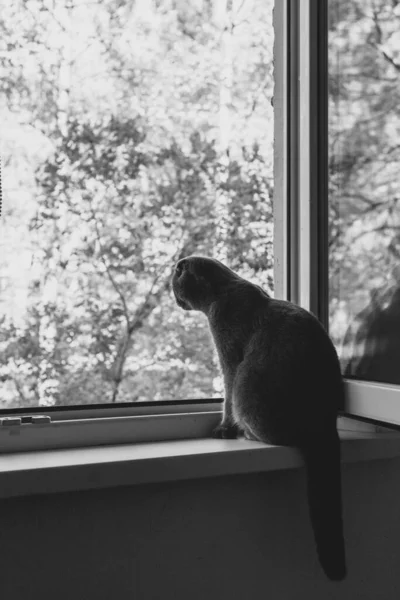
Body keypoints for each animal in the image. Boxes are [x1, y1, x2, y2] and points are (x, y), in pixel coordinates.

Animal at [173, 254, 346, 580]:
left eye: (175, 283)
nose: (174, 297)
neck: (223, 292)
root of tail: (324, 423)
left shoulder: (229, 356)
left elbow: (225, 396)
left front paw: (225, 429)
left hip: (247, 381)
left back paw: (248, 433)